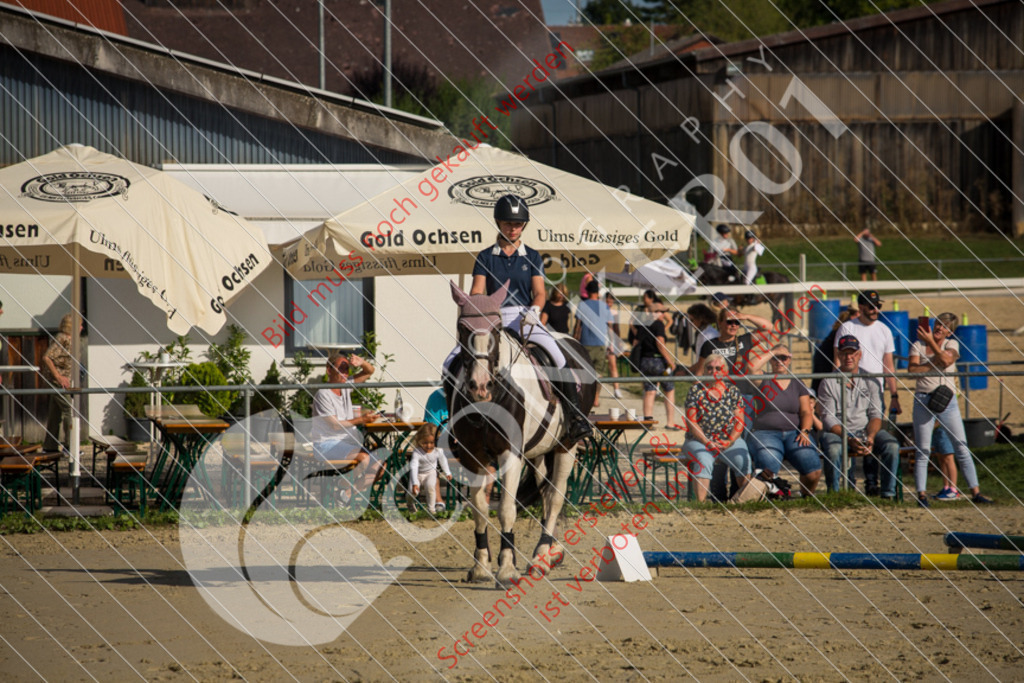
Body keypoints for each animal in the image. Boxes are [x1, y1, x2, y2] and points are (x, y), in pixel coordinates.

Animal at [448, 282, 598, 589]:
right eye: (463, 328)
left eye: (495, 330)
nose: (480, 386)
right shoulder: (472, 456)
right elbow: (479, 507)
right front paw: (481, 566)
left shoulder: (510, 455)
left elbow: (506, 508)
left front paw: (506, 569)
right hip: (538, 453)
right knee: (545, 494)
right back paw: (550, 552)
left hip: (566, 447)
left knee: (555, 497)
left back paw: (541, 557)